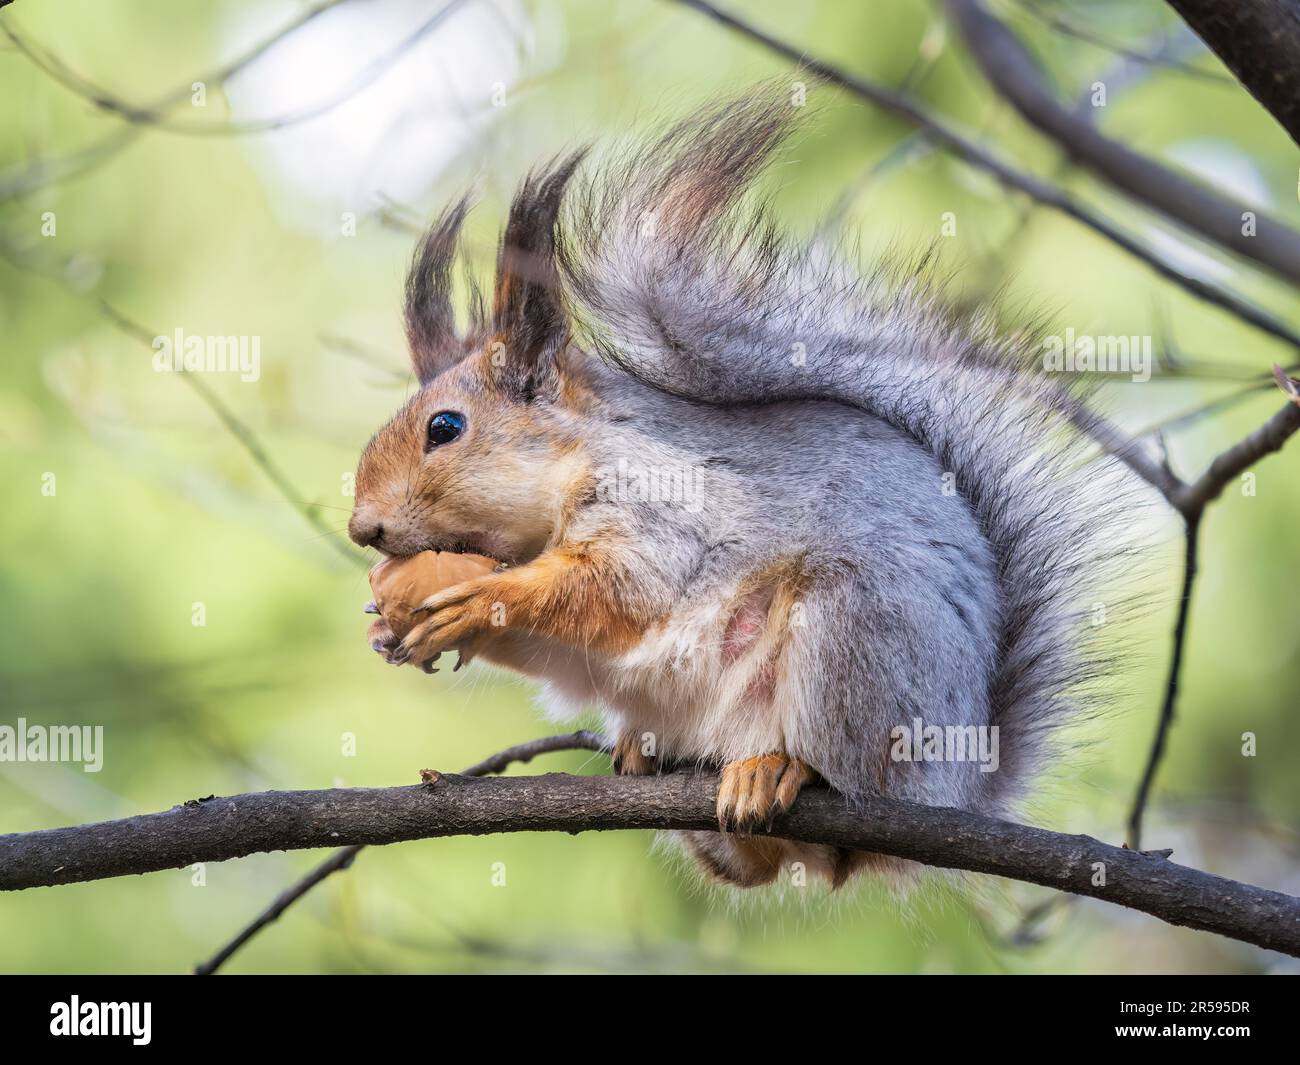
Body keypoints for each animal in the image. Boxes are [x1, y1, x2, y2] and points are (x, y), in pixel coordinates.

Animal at [351, 95, 1144, 889]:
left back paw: (779, 768)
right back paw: (657, 761)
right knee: (752, 865)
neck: (573, 471)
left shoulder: (661, 511)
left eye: (445, 427)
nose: (363, 529)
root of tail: (954, 781)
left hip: (856, 636)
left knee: (844, 780)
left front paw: (485, 598)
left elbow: (619, 590)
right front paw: (390, 627)